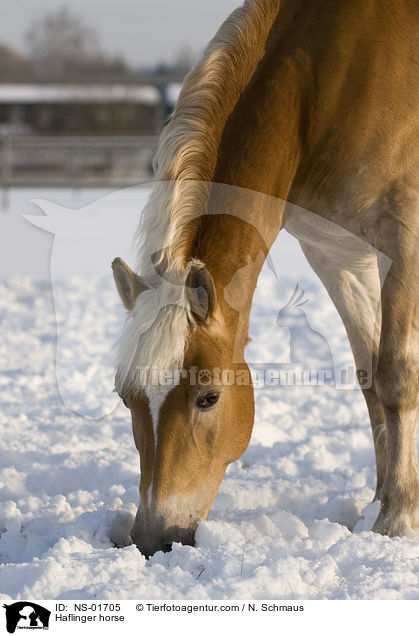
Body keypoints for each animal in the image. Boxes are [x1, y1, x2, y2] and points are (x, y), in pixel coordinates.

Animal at [110, 0, 419, 556]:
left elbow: (397, 374)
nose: (154, 538)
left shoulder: (403, 238)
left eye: (208, 397)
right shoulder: (335, 255)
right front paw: (377, 503)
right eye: (127, 397)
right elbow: (369, 377)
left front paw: (397, 519)